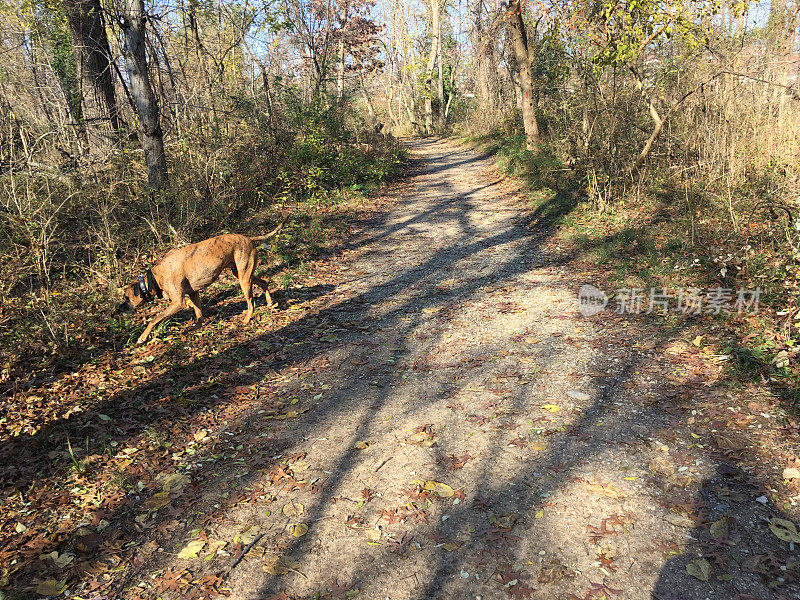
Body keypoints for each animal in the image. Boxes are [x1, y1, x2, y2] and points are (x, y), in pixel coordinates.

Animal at [117, 224, 282, 344]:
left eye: (126, 297)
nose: (119, 309)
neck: (155, 277)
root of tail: (248, 238)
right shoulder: (193, 293)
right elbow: (199, 315)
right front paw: (195, 328)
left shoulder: (178, 302)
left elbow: (154, 319)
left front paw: (142, 338)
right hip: (243, 274)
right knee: (264, 282)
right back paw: (270, 302)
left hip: (244, 279)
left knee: (251, 302)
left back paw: (247, 319)